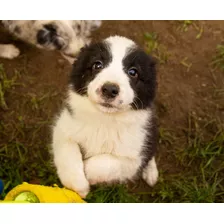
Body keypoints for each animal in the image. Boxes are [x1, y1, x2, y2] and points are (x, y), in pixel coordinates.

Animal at [51, 35, 158, 198]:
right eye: (97, 65)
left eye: (133, 72)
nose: (109, 89)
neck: (105, 119)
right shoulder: (64, 127)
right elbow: (67, 151)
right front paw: (78, 185)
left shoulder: (134, 157)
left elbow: (106, 162)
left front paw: (87, 174)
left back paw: (151, 173)